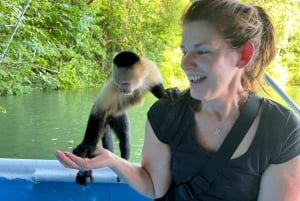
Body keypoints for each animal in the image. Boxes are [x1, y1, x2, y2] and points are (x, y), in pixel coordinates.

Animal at [73, 51, 166, 186]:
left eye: (125, 83)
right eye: (119, 83)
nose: (122, 89)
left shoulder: (149, 70)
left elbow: (157, 87)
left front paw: (168, 93)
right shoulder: (112, 86)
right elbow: (98, 112)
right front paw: (87, 146)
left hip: (118, 116)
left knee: (124, 138)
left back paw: (124, 161)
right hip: (107, 119)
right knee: (104, 129)